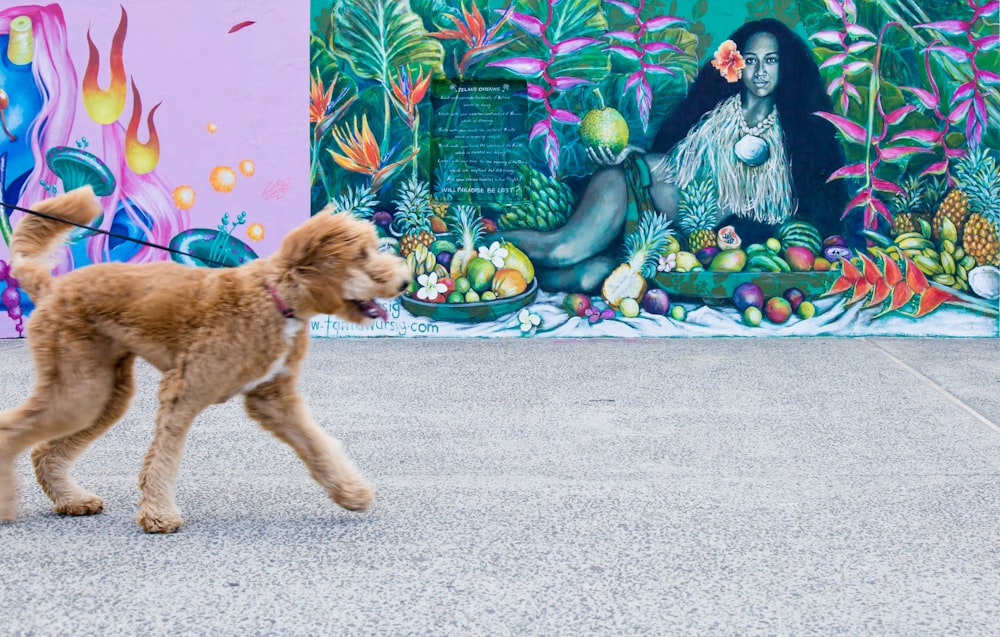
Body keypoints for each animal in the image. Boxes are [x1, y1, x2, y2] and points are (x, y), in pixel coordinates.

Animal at [0, 185, 412, 532]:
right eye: (362, 255)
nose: (405, 282)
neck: (274, 298)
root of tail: (52, 286)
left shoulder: (273, 398)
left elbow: (316, 444)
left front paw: (351, 492)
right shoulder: (185, 388)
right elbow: (162, 458)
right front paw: (159, 516)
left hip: (103, 391)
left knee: (44, 450)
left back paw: (73, 500)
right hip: (79, 388)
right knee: (12, 431)